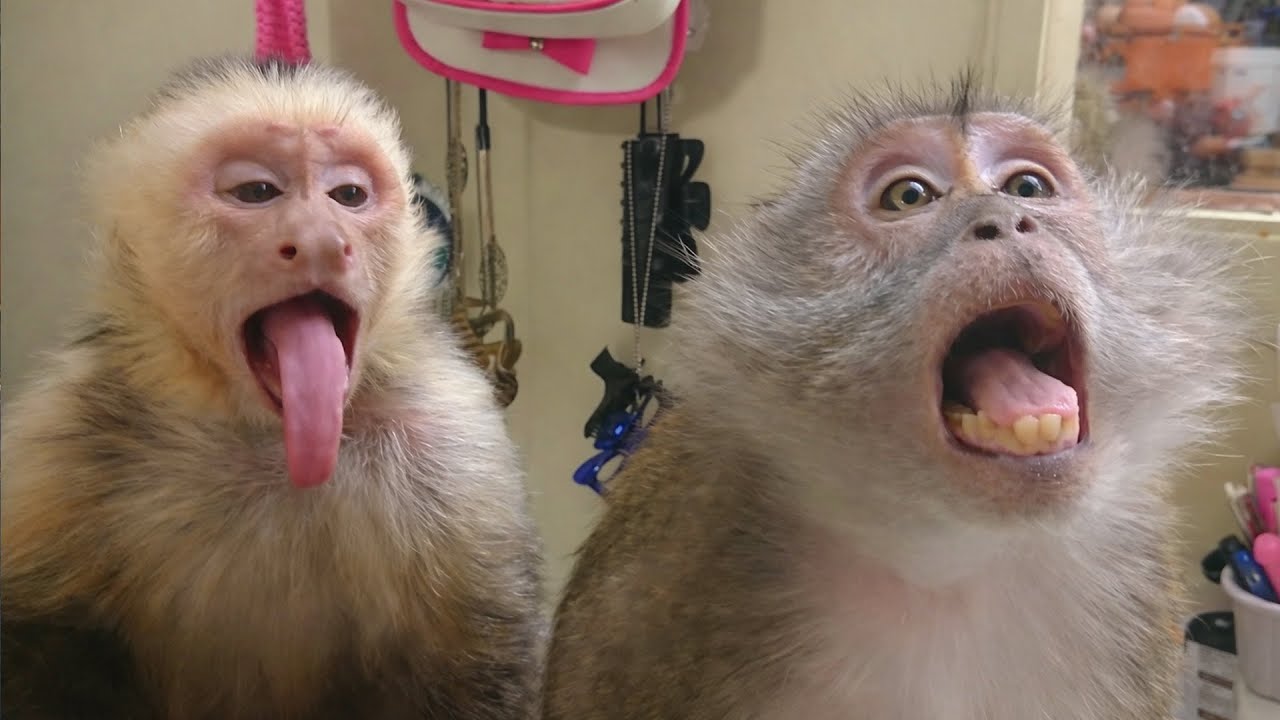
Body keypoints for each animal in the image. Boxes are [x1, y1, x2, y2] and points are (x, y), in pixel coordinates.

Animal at [0, 56, 546, 720]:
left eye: (348, 196)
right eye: (257, 192)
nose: (322, 243)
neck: (268, 441)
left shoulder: (452, 438)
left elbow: (481, 663)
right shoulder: (54, 445)